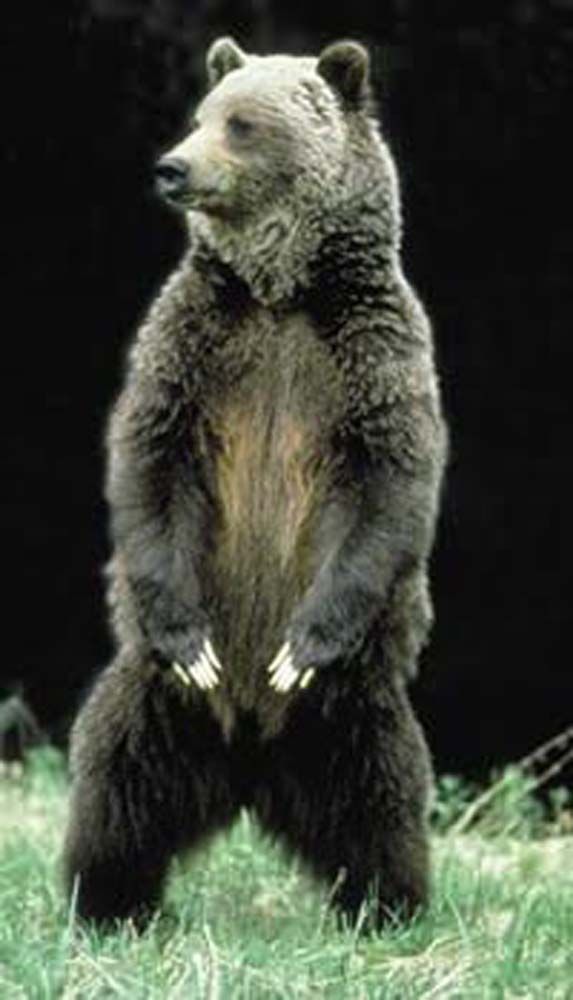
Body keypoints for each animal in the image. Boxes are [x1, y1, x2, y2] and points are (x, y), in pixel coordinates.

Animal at [63, 36, 447, 931]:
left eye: (243, 124)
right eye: (202, 114)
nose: (171, 166)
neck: (280, 293)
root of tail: (248, 755)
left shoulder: (368, 356)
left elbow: (387, 489)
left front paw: (300, 647)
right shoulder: (195, 346)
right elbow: (149, 462)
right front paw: (192, 641)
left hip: (355, 707)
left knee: (382, 799)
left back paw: (386, 906)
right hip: (156, 699)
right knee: (116, 781)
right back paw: (106, 902)